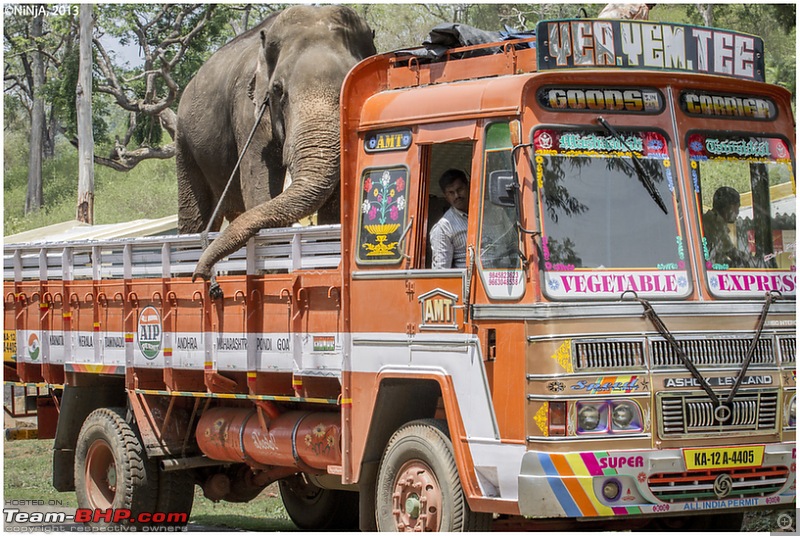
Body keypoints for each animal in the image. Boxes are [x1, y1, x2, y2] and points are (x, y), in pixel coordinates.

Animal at [177, 6, 376, 282]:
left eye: (350, 87)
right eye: (278, 90)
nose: (202, 274)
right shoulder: (248, 111)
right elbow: (260, 187)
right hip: (184, 140)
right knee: (195, 215)